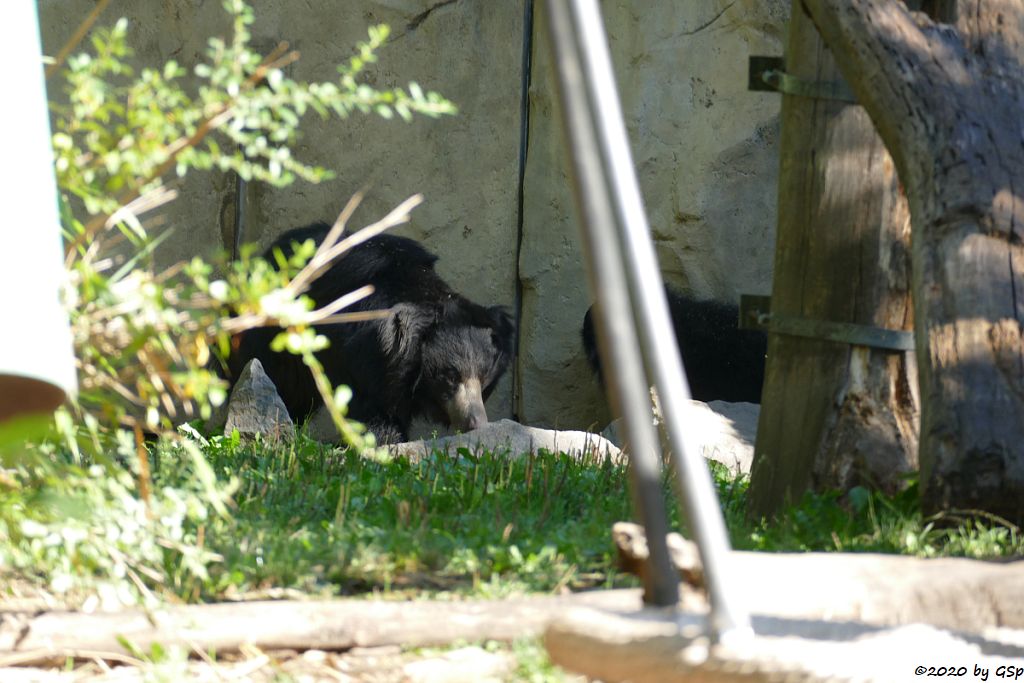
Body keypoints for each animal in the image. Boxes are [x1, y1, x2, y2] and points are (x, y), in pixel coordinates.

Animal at [234, 224, 520, 446]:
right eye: (449, 377)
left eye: (484, 377)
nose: (476, 424)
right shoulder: (361, 356)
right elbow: (371, 405)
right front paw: (384, 440)